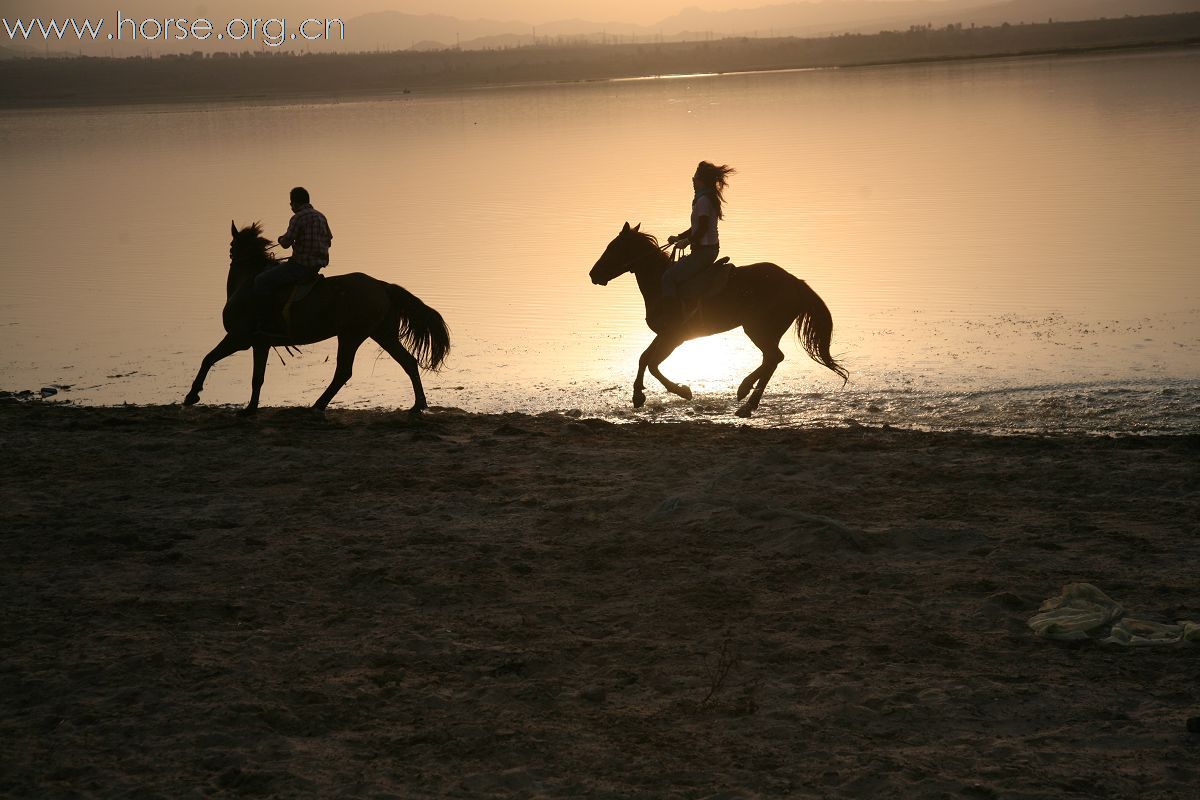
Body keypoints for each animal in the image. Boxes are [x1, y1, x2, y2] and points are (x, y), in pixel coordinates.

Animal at [182, 221, 451, 417]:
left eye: (232, 244)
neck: (247, 284)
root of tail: (383, 286)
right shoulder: (261, 343)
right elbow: (257, 377)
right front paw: (250, 408)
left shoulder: (239, 338)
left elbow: (210, 359)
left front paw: (192, 396)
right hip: (381, 334)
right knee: (408, 362)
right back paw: (418, 405)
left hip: (351, 335)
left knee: (343, 372)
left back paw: (317, 405)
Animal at [588, 220, 849, 417]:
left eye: (613, 248)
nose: (593, 274)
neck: (660, 282)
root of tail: (795, 283)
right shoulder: (664, 334)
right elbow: (644, 359)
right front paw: (638, 395)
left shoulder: (674, 336)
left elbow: (652, 363)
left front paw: (681, 391)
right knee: (771, 359)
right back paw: (746, 395)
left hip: (758, 329)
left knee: (773, 358)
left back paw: (745, 399)